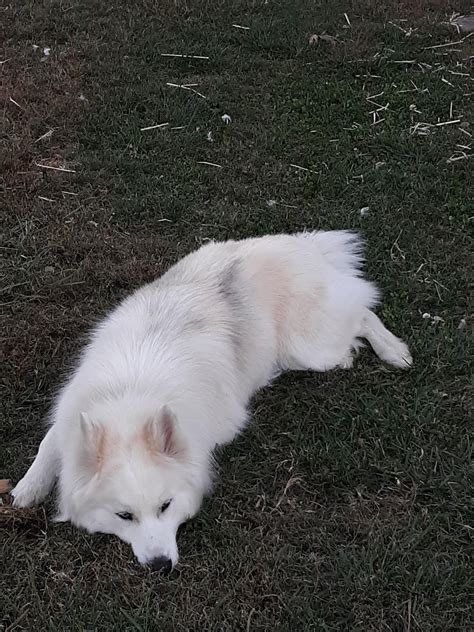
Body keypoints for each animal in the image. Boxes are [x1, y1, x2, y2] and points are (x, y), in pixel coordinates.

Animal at [11, 232, 412, 572]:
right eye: (124, 516)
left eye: (165, 506)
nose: (161, 567)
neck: (130, 396)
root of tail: (306, 245)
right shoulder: (69, 415)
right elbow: (48, 444)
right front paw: (27, 488)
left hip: (310, 350)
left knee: (363, 313)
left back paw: (392, 351)